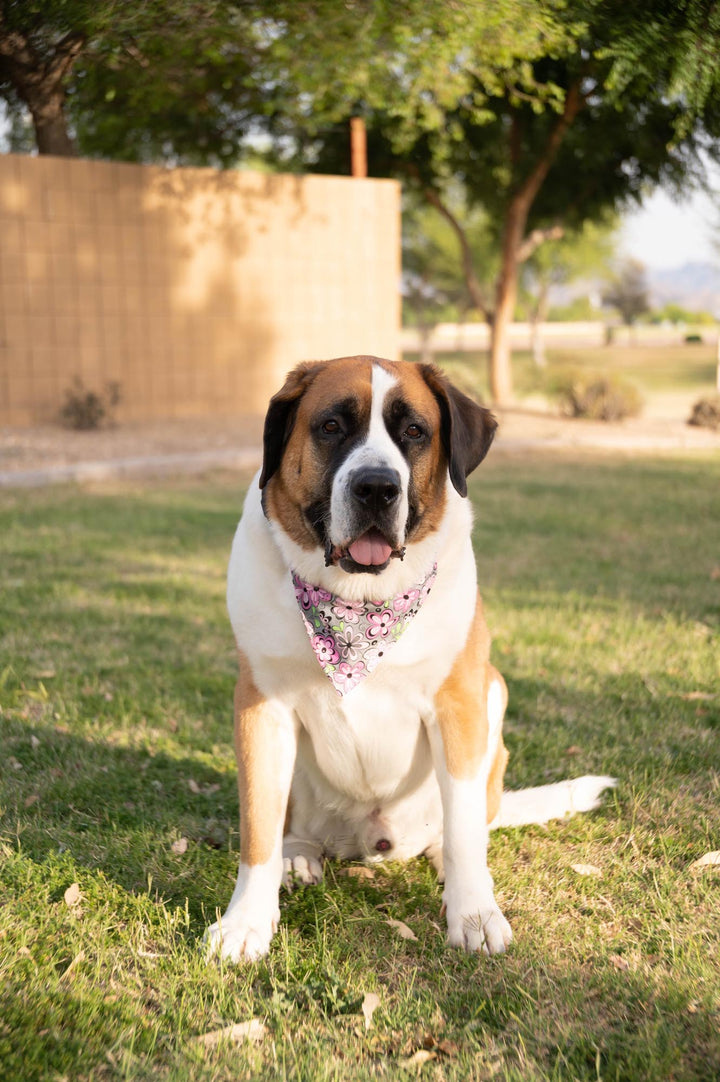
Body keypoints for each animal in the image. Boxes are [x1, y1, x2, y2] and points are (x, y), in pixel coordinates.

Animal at [204, 357, 614, 965]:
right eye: (331, 426)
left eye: (415, 432)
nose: (377, 487)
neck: (359, 605)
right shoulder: (260, 707)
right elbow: (258, 823)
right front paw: (245, 922)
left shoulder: (459, 705)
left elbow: (465, 829)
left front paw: (474, 913)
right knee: (290, 825)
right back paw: (298, 854)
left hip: (493, 697)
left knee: (464, 824)